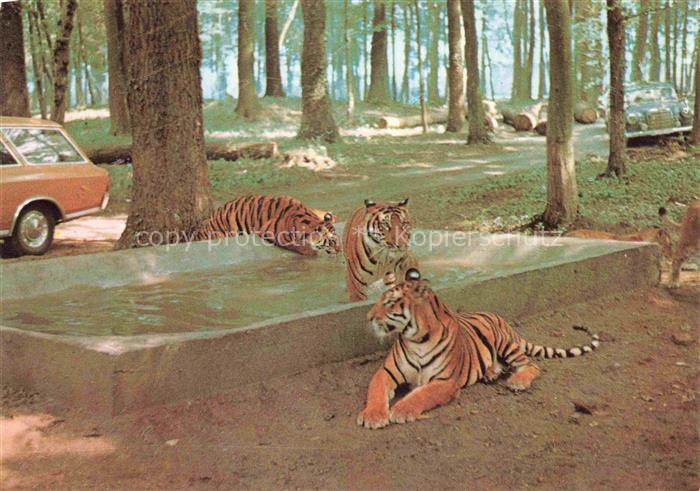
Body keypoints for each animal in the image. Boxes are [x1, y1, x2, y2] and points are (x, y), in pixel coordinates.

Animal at [192, 195, 342, 256]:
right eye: (332, 241)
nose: (341, 250)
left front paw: (331, 215)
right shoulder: (276, 234)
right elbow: (298, 245)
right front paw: (312, 252)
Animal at [357, 268, 600, 429]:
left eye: (389, 303)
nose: (367, 317)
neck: (415, 338)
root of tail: (498, 317)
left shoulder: (446, 381)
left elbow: (422, 394)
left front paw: (401, 410)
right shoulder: (386, 372)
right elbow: (376, 390)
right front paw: (373, 415)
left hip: (505, 343)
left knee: (531, 365)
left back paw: (517, 381)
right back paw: (491, 373)